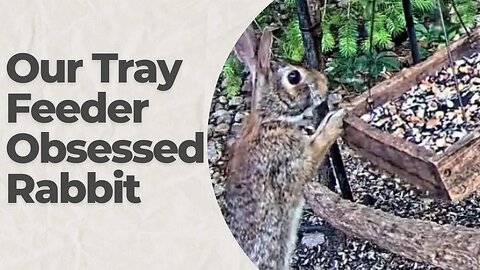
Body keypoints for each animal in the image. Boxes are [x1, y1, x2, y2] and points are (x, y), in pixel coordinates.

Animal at [224, 24, 344, 268]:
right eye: (293, 76)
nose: (324, 82)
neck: (269, 120)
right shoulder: (288, 164)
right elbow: (314, 151)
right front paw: (334, 122)